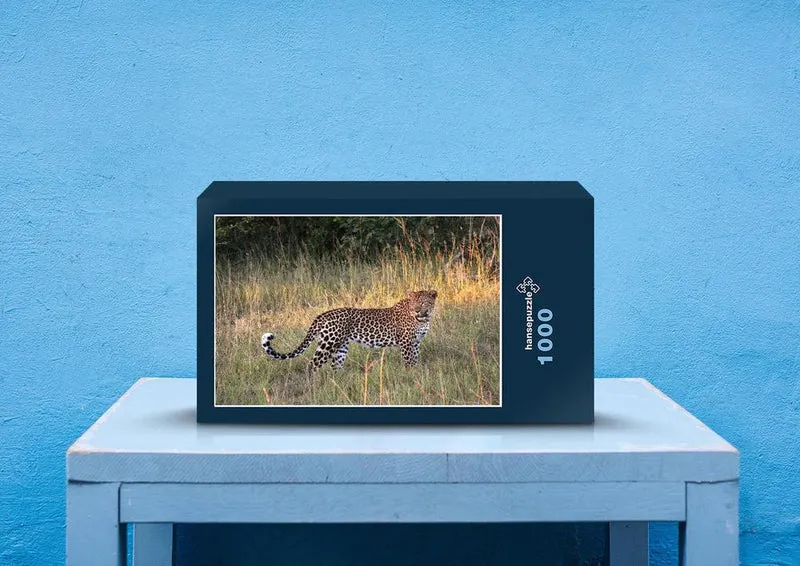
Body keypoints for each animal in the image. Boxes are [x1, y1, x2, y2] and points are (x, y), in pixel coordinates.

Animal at [261, 290, 437, 376]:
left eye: (423, 302)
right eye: (413, 303)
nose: (416, 310)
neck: (424, 318)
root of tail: (322, 315)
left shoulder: (415, 343)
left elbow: (415, 360)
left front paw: (416, 373)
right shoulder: (406, 343)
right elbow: (409, 361)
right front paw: (411, 375)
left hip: (341, 348)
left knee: (335, 367)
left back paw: (337, 383)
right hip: (328, 344)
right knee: (312, 365)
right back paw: (313, 386)